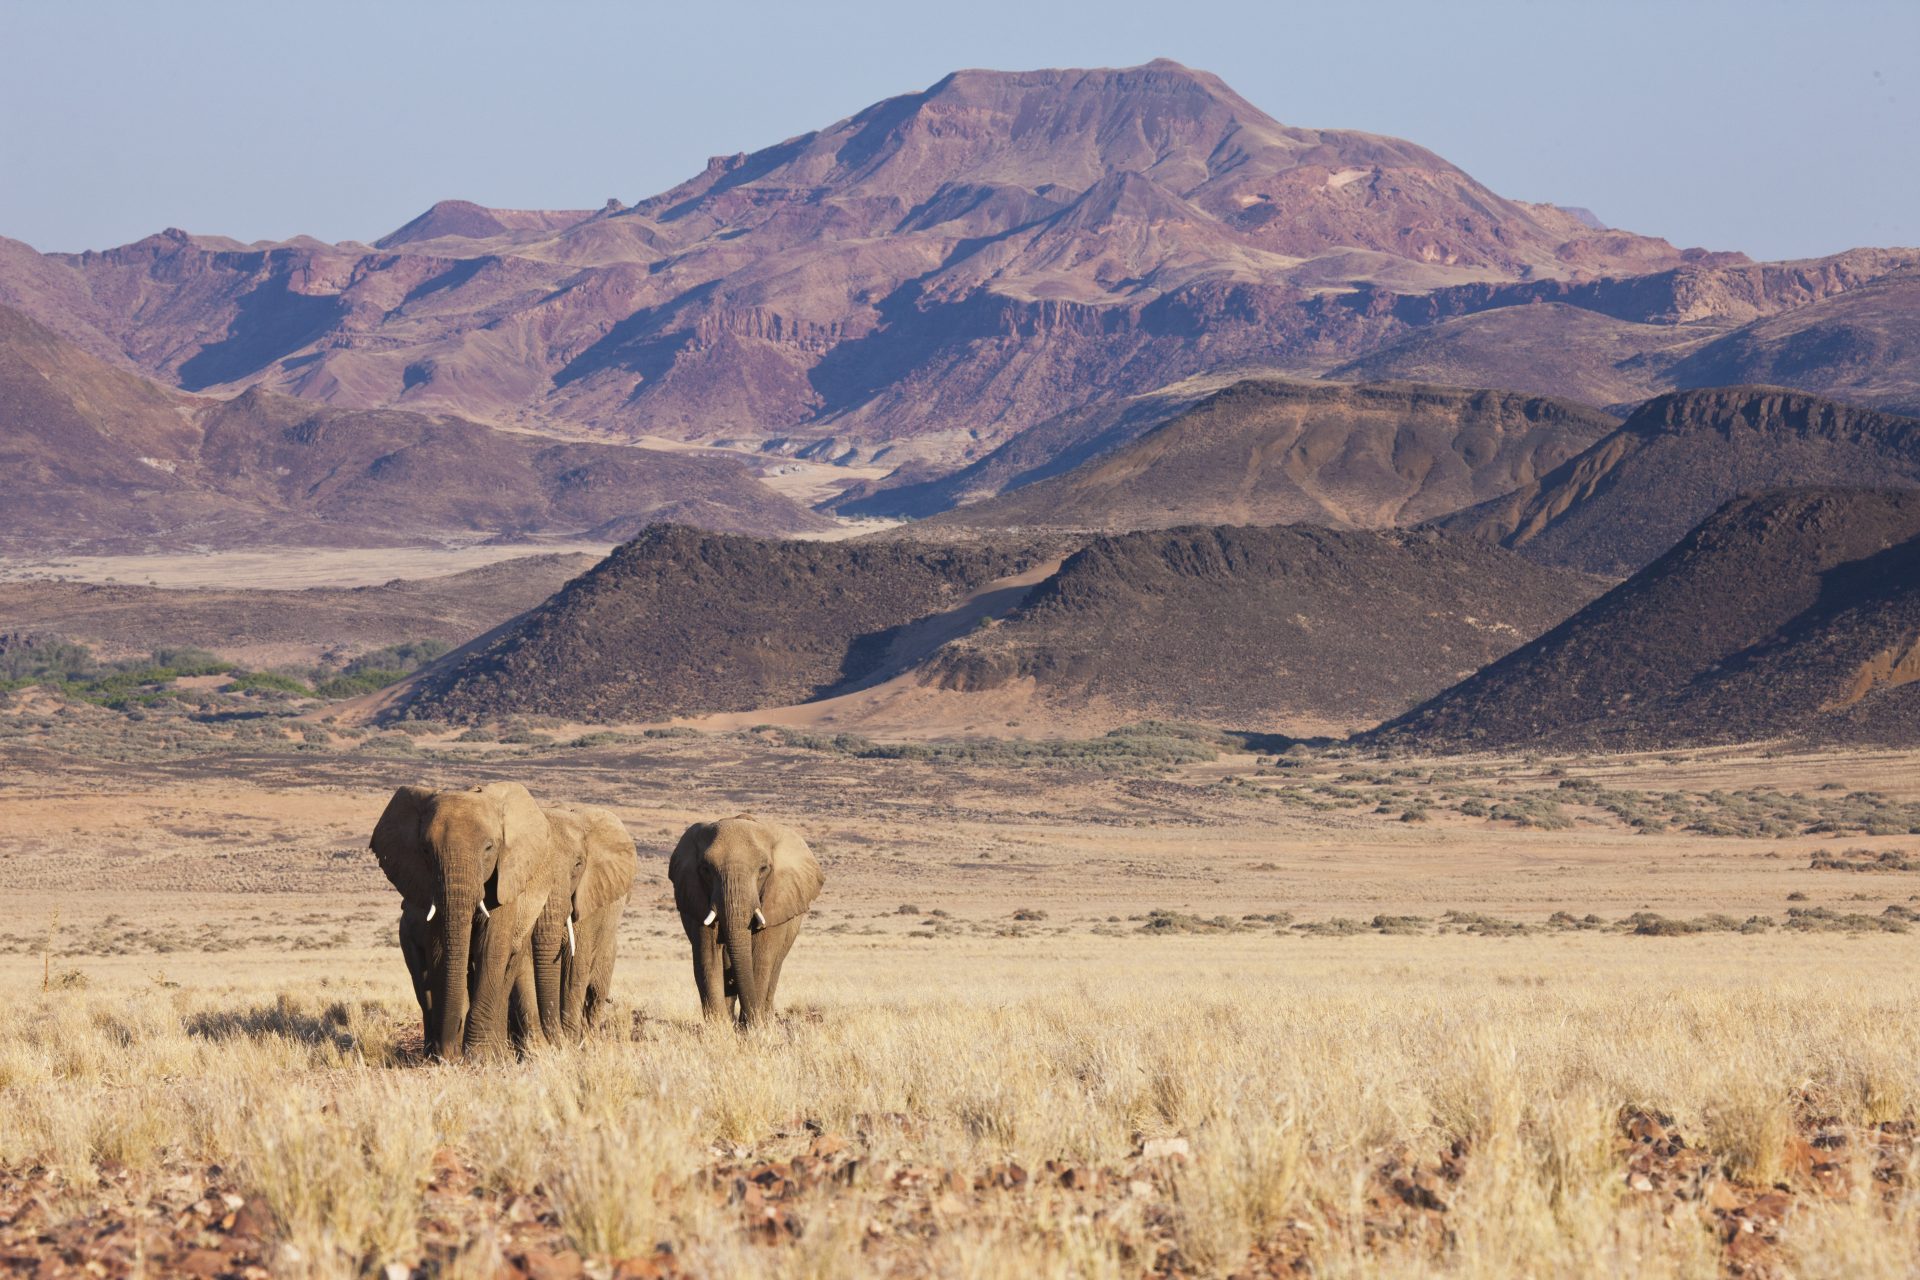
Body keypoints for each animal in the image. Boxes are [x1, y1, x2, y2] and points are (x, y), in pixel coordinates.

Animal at [366, 782, 560, 1059]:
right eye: (425, 850)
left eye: (489, 847)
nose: (449, 1051)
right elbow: (439, 951)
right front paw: (449, 1055)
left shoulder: (506, 880)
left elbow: (491, 948)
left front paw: (480, 1055)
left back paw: (497, 1051)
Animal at [668, 817, 817, 1028]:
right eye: (706, 869)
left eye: (763, 869)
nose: (748, 1021)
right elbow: (708, 957)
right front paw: (720, 1028)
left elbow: (761, 959)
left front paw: (752, 1028)